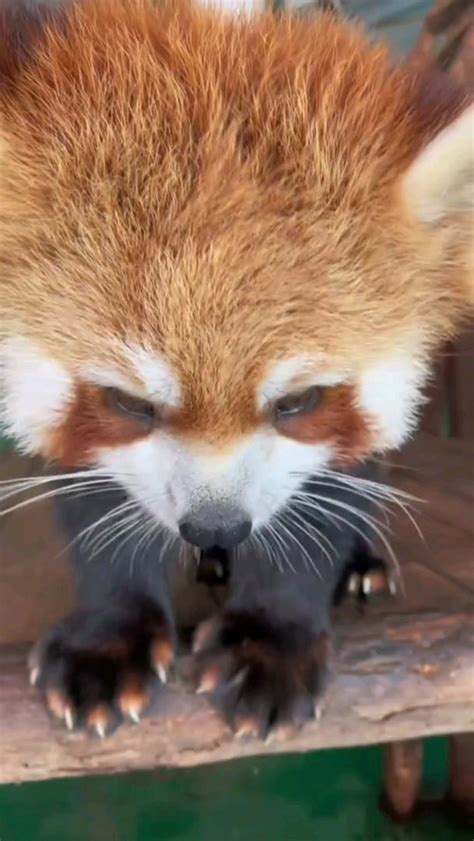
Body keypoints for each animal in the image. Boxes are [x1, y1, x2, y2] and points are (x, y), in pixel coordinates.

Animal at [0, 0, 472, 736]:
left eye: (300, 400)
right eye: (129, 402)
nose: (215, 526)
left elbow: (318, 500)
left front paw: (270, 646)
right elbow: (95, 496)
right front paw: (110, 638)